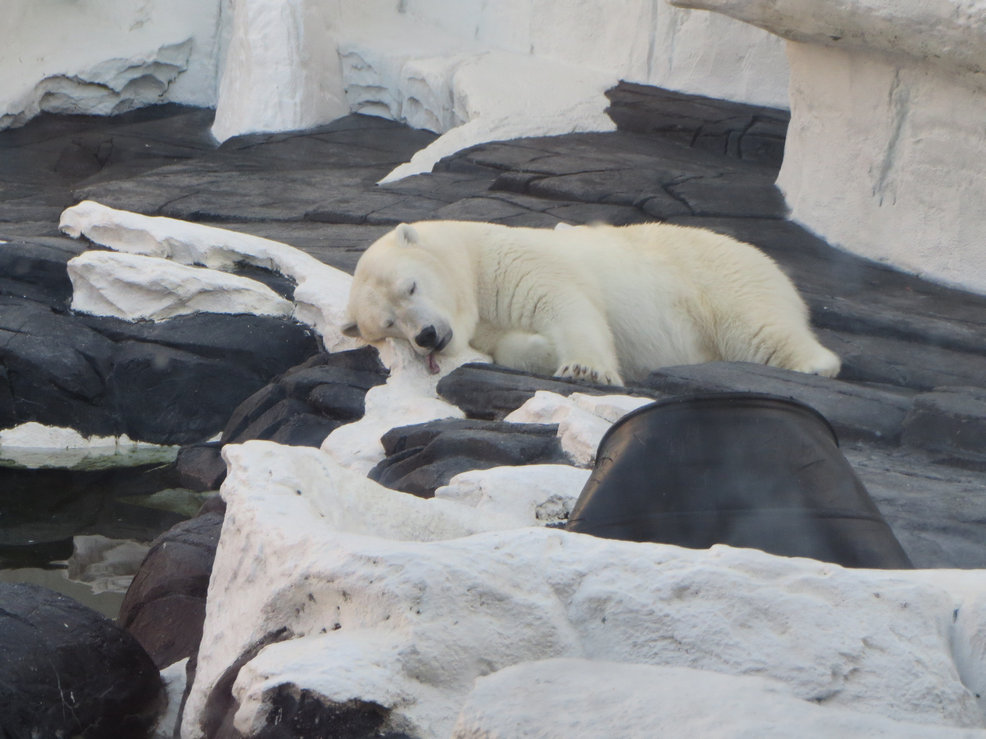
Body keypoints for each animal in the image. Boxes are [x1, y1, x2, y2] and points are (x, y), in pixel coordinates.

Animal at [340, 221, 836, 388]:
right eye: (388, 324)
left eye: (410, 287)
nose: (427, 336)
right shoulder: (488, 322)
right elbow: (511, 344)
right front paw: (542, 352)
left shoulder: (514, 258)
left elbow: (565, 303)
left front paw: (585, 369)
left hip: (717, 277)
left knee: (758, 326)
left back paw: (815, 365)